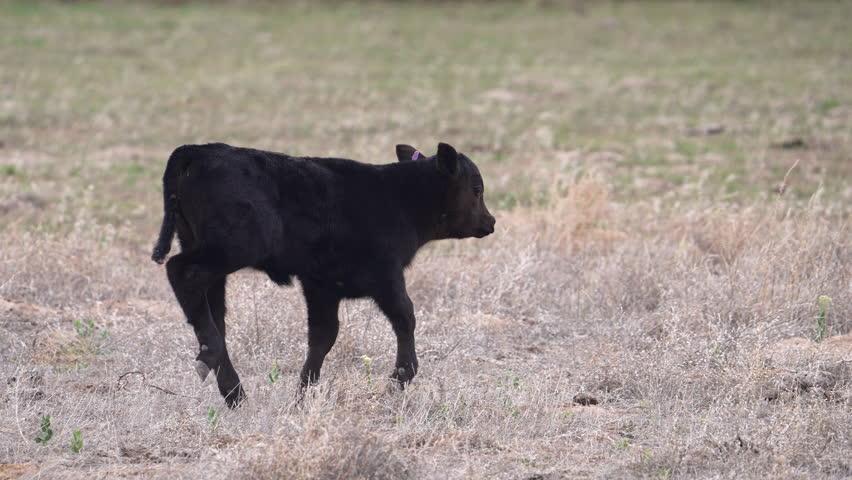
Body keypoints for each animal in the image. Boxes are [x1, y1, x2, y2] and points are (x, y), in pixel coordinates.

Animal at [151, 142, 495, 408]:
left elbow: (322, 336)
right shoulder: (385, 276)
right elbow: (405, 317)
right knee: (181, 271)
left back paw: (233, 391)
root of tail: (198, 151)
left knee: (213, 312)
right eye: (477, 190)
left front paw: (302, 396)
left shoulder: (321, 285)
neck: (397, 198)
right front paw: (399, 378)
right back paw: (211, 359)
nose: (490, 222)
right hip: (230, 249)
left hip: (211, 257)